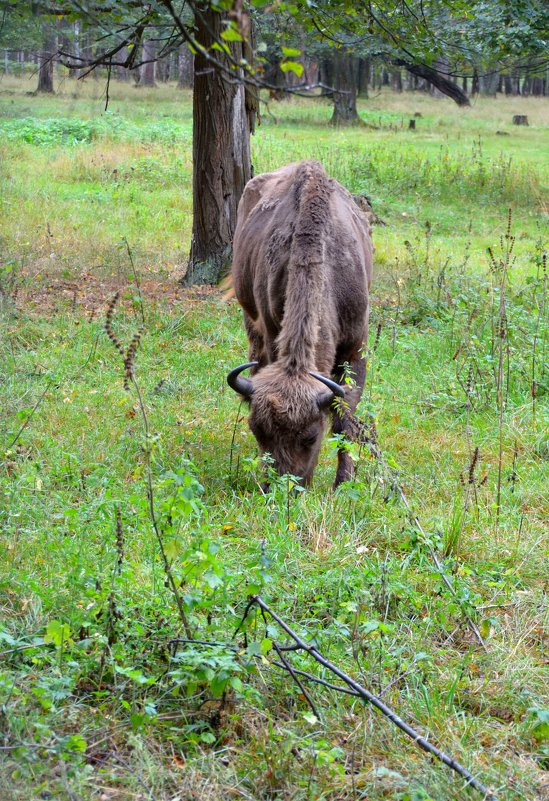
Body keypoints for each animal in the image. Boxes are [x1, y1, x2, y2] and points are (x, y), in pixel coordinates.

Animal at [226, 162, 372, 484]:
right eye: (258, 431)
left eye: (310, 437)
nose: (283, 487)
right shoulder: (271, 332)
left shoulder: (355, 349)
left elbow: (345, 421)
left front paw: (344, 483)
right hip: (250, 318)